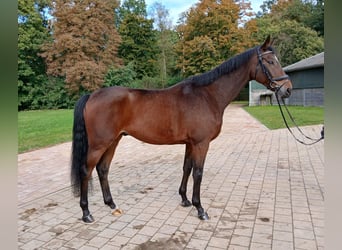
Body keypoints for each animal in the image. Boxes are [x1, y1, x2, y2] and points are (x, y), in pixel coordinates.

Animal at [71, 35, 292, 223]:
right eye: (270, 62)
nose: (287, 89)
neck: (207, 96)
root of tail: (92, 95)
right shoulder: (201, 143)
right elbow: (198, 173)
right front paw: (200, 209)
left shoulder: (190, 143)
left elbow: (187, 168)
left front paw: (185, 200)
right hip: (99, 144)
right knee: (86, 170)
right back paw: (86, 213)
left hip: (113, 140)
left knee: (103, 169)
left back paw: (111, 204)